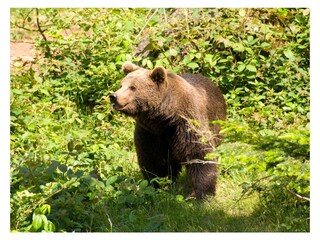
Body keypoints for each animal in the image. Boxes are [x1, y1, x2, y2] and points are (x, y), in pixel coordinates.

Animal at [110, 62, 228, 199]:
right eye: (121, 85)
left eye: (132, 87)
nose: (113, 96)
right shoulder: (150, 133)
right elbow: (153, 159)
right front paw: (158, 186)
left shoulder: (187, 123)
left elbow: (200, 154)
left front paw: (202, 194)